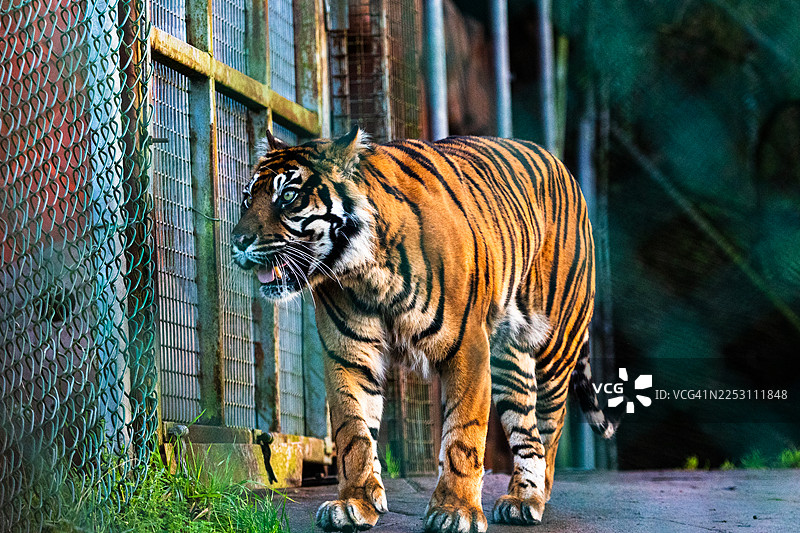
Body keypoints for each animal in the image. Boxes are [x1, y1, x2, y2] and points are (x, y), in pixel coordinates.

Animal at [231, 127, 618, 532]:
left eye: (288, 197)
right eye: (247, 199)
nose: (238, 241)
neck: (364, 272)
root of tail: (560, 164)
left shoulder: (468, 348)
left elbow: (463, 434)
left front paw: (455, 510)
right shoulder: (348, 351)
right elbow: (354, 432)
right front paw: (354, 503)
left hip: (556, 348)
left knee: (547, 432)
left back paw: (531, 498)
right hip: (509, 359)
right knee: (526, 429)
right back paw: (519, 497)